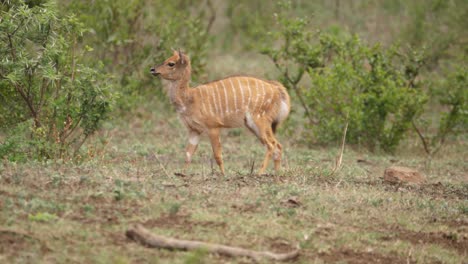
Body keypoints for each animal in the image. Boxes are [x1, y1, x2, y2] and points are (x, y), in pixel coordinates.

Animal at [150, 50, 288, 175]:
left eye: (171, 63)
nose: (152, 69)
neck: (189, 99)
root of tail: (277, 89)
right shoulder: (194, 130)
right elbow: (188, 154)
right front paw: (181, 173)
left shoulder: (213, 127)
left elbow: (217, 155)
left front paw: (223, 174)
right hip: (254, 125)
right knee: (278, 145)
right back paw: (277, 173)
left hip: (259, 121)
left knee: (271, 145)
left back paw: (259, 173)